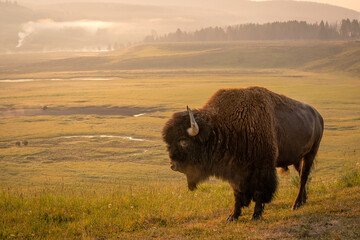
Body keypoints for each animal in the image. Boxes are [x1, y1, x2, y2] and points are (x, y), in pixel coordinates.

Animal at [162, 86, 324, 221]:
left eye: (183, 141)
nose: (172, 165)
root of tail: (318, 116)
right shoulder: (236, 171)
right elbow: (238, 193)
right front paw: (232, 216)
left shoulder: (262, 169)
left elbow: (259, 192)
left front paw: (256, 215)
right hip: (297, 158)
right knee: (301, 174)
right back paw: (302, 200)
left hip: (311, 153)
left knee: (303, 176)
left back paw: (295, 204)